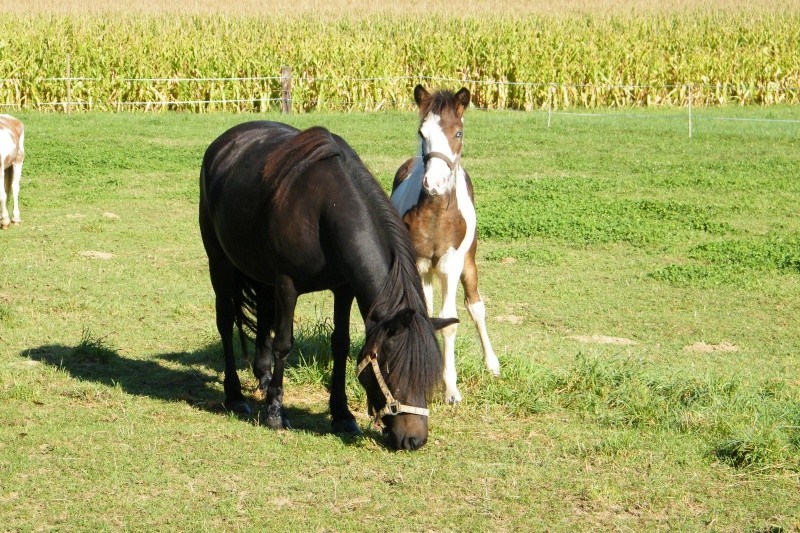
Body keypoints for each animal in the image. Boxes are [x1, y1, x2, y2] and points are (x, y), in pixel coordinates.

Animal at [198, 120, 456, 448]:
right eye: (392, 369)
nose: (414, 440)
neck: (325, 210)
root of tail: (224, 142)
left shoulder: (343, 288)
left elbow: (340, 344)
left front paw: (342, 414)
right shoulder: (287, 284)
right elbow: (284, 343)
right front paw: (275, 413)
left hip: (262, 275)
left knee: (264, 318)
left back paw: (264, 378)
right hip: (219, 261)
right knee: (226, 320)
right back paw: (235, 396)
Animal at [390, 84, 496, 404]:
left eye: (458, 132)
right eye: (422, 132)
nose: (434, 183)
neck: (437, 213)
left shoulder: (451, 266)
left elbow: (451, 321)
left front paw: (451, 390)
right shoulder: (418, 263)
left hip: (468, 263)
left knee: (476, 307)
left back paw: (493, 364)